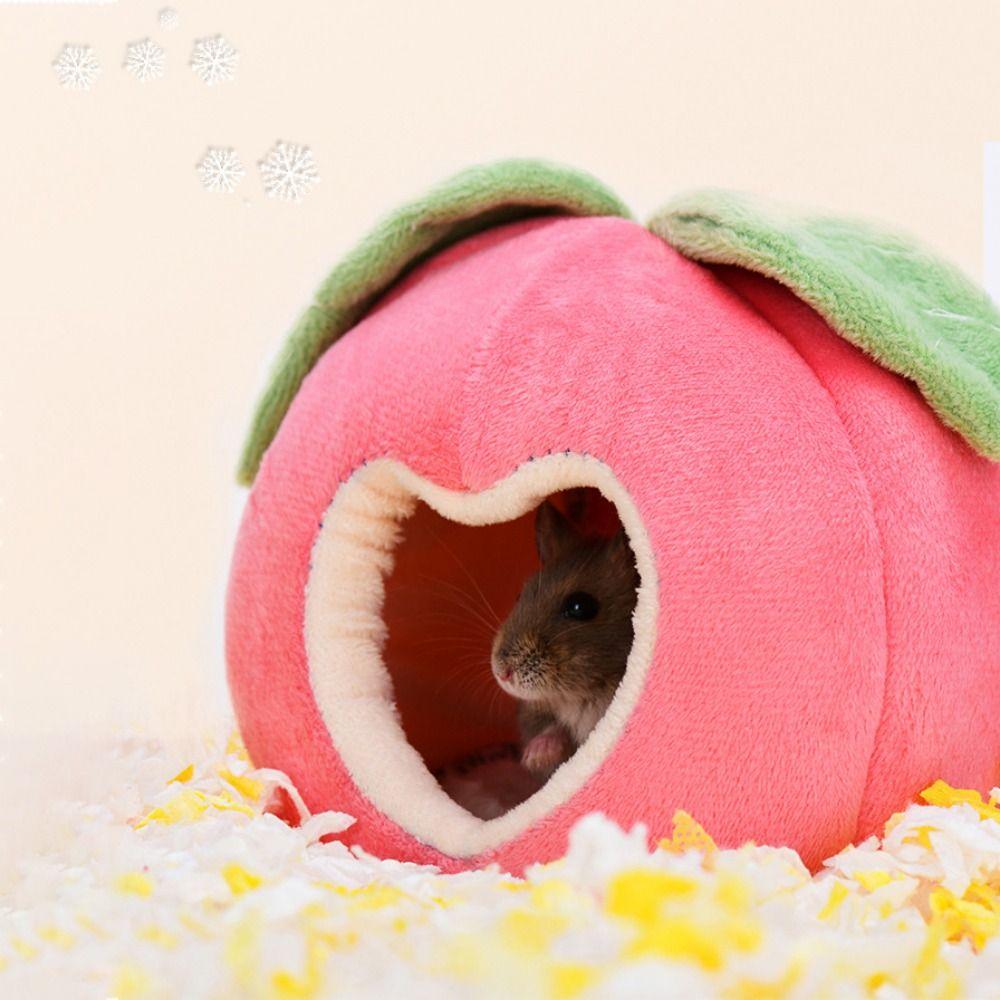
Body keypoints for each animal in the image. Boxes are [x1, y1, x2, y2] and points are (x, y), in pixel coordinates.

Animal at [490, 499, 640, 778]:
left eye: (580, 606)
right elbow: (554, 732)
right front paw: (535, 757)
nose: (501, 673)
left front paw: (533, 758)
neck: (580, 696)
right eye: (519, 595)